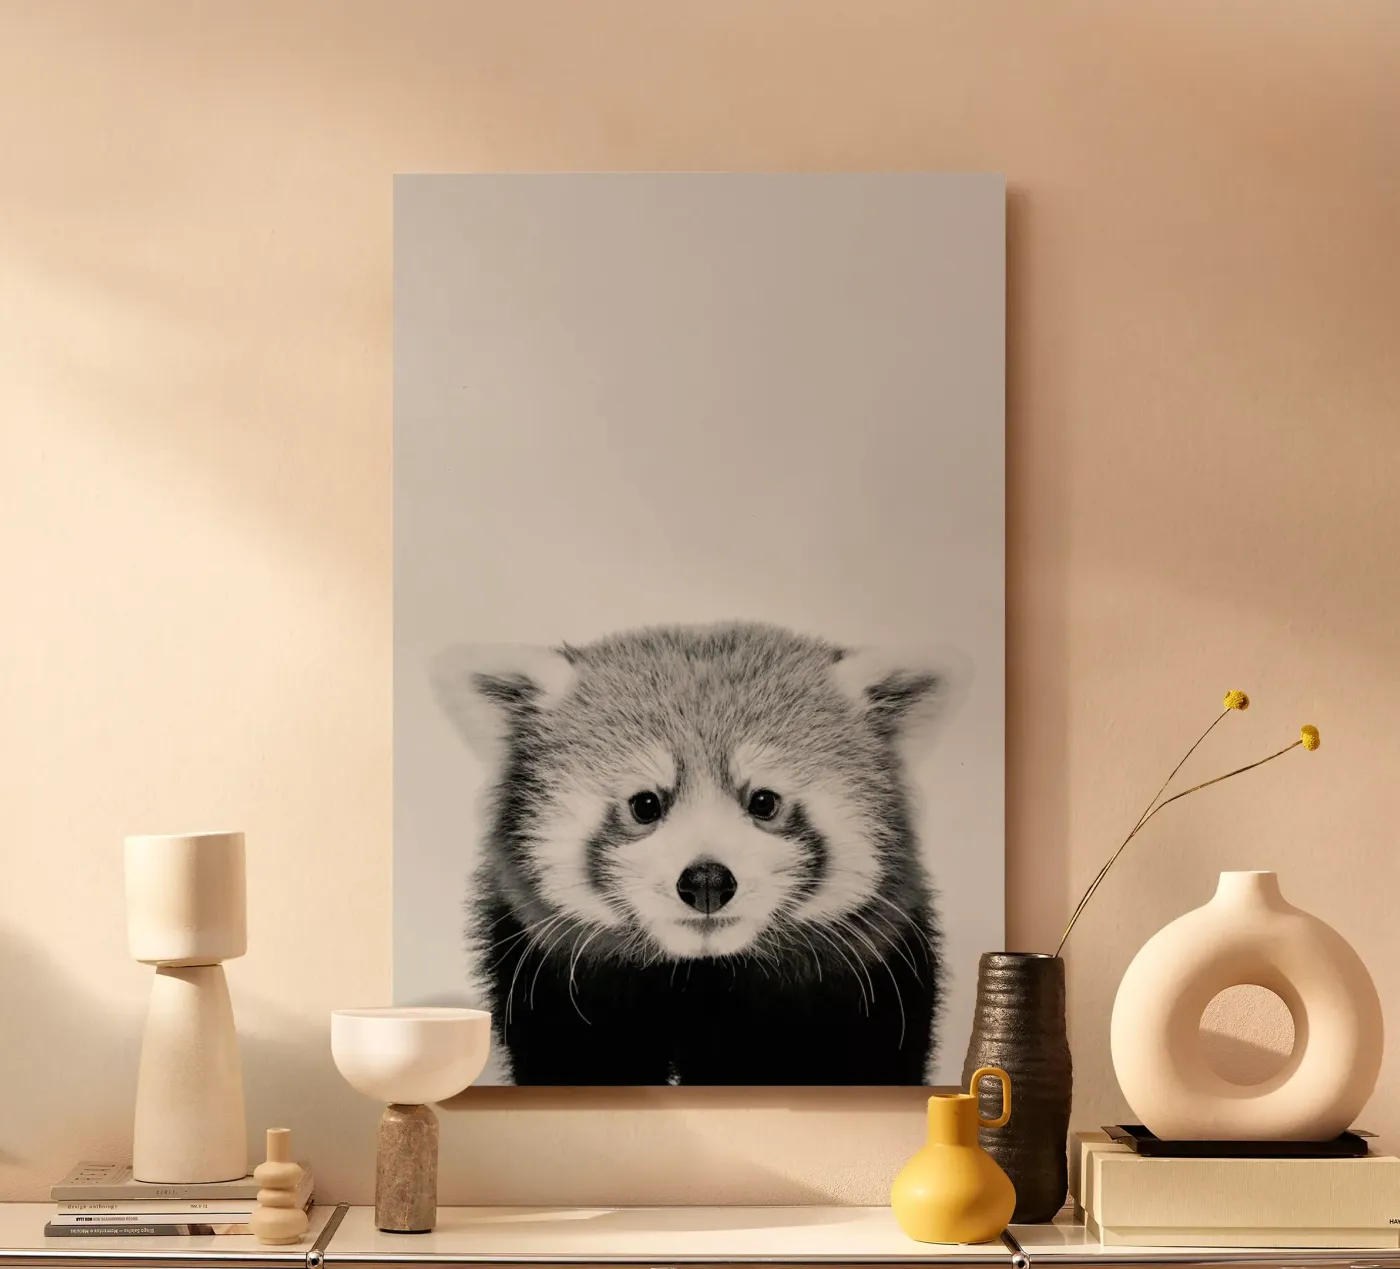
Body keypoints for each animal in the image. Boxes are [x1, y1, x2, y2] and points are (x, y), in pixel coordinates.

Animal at [430, 621, 967, 1085]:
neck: (699, 980)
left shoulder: (873, 998)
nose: (707, 881)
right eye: (645, 805)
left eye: (764, 802)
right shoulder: (553, 998)